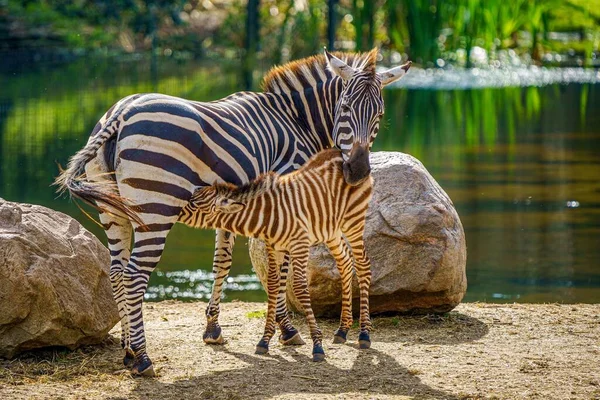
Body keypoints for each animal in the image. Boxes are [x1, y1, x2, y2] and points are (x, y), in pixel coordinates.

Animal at [179, 148, 376, 360]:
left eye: (195, 205)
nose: (174, 211)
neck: (268, 216)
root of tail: (343, 155)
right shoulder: (273, 248)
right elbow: (273, 285)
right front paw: (264, 341)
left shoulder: (299, 245)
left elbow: (300, 288)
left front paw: (317, 344)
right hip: (331, 231)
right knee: (345, 262)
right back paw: (342, 330)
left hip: (353, 222)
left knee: (363, 265)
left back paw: (364, 333)